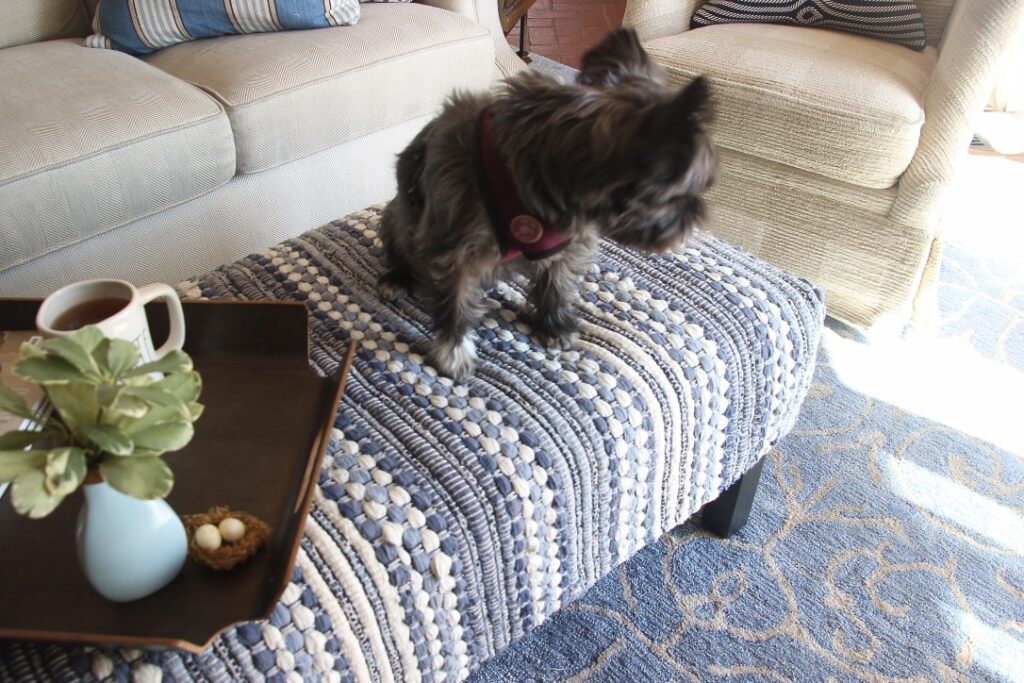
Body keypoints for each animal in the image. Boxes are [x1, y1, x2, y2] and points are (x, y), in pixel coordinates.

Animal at [374, 28, 712, 378]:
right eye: (688, 192)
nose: (694, 222)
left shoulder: (567, 246)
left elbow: (557, 286)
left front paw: (554, 325)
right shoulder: (453, 250)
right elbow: (455, 303)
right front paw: (453, 352)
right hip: (398, 220)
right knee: (402, 251)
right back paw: (397, 278)